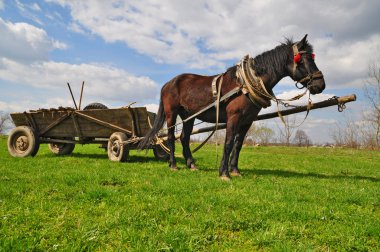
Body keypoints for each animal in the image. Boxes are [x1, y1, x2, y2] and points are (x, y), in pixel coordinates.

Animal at [138, 34, 326, 178]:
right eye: (303, 59)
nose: (321, 84)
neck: (246, 84)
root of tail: (168, 83)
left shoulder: (247, 120)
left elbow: (238, 144)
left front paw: (235, 170)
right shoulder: (233, 117)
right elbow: (228, 143)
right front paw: (224, 173)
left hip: (188, 116)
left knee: (184, 138)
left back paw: (191, 164)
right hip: (171, 113)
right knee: (170, 137)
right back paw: (173, 164)